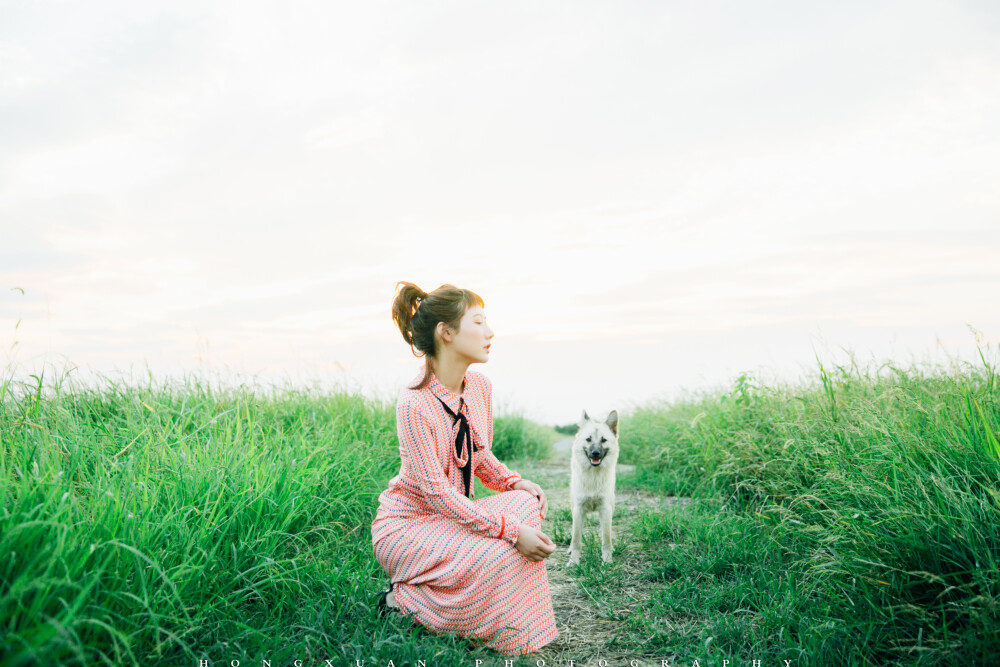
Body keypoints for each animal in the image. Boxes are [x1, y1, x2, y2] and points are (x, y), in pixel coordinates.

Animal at [572, 410, 616, 568]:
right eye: (588, 439)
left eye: (604, 440)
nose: (595, 453)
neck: (593, 476)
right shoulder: (578, 509)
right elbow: (576, 539)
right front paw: (573, 561)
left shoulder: (605, 509)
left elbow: (606, 539)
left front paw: (607, 560)